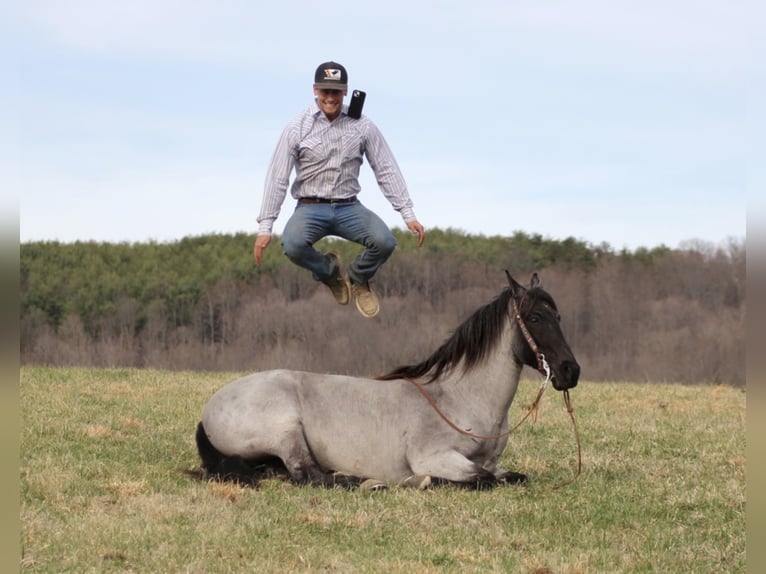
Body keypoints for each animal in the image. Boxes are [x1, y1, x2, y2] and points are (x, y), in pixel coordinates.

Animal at [196, 272, 584, 488]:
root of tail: (208, 410)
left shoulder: (491, 463)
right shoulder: (436, 457)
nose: (570, 371)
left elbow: (511, 477)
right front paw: (421, 481)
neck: (460, 398)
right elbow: (480, 479)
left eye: (559, 316)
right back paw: (367, 482)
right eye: (534, 318)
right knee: (308, 476)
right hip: (285, 431)